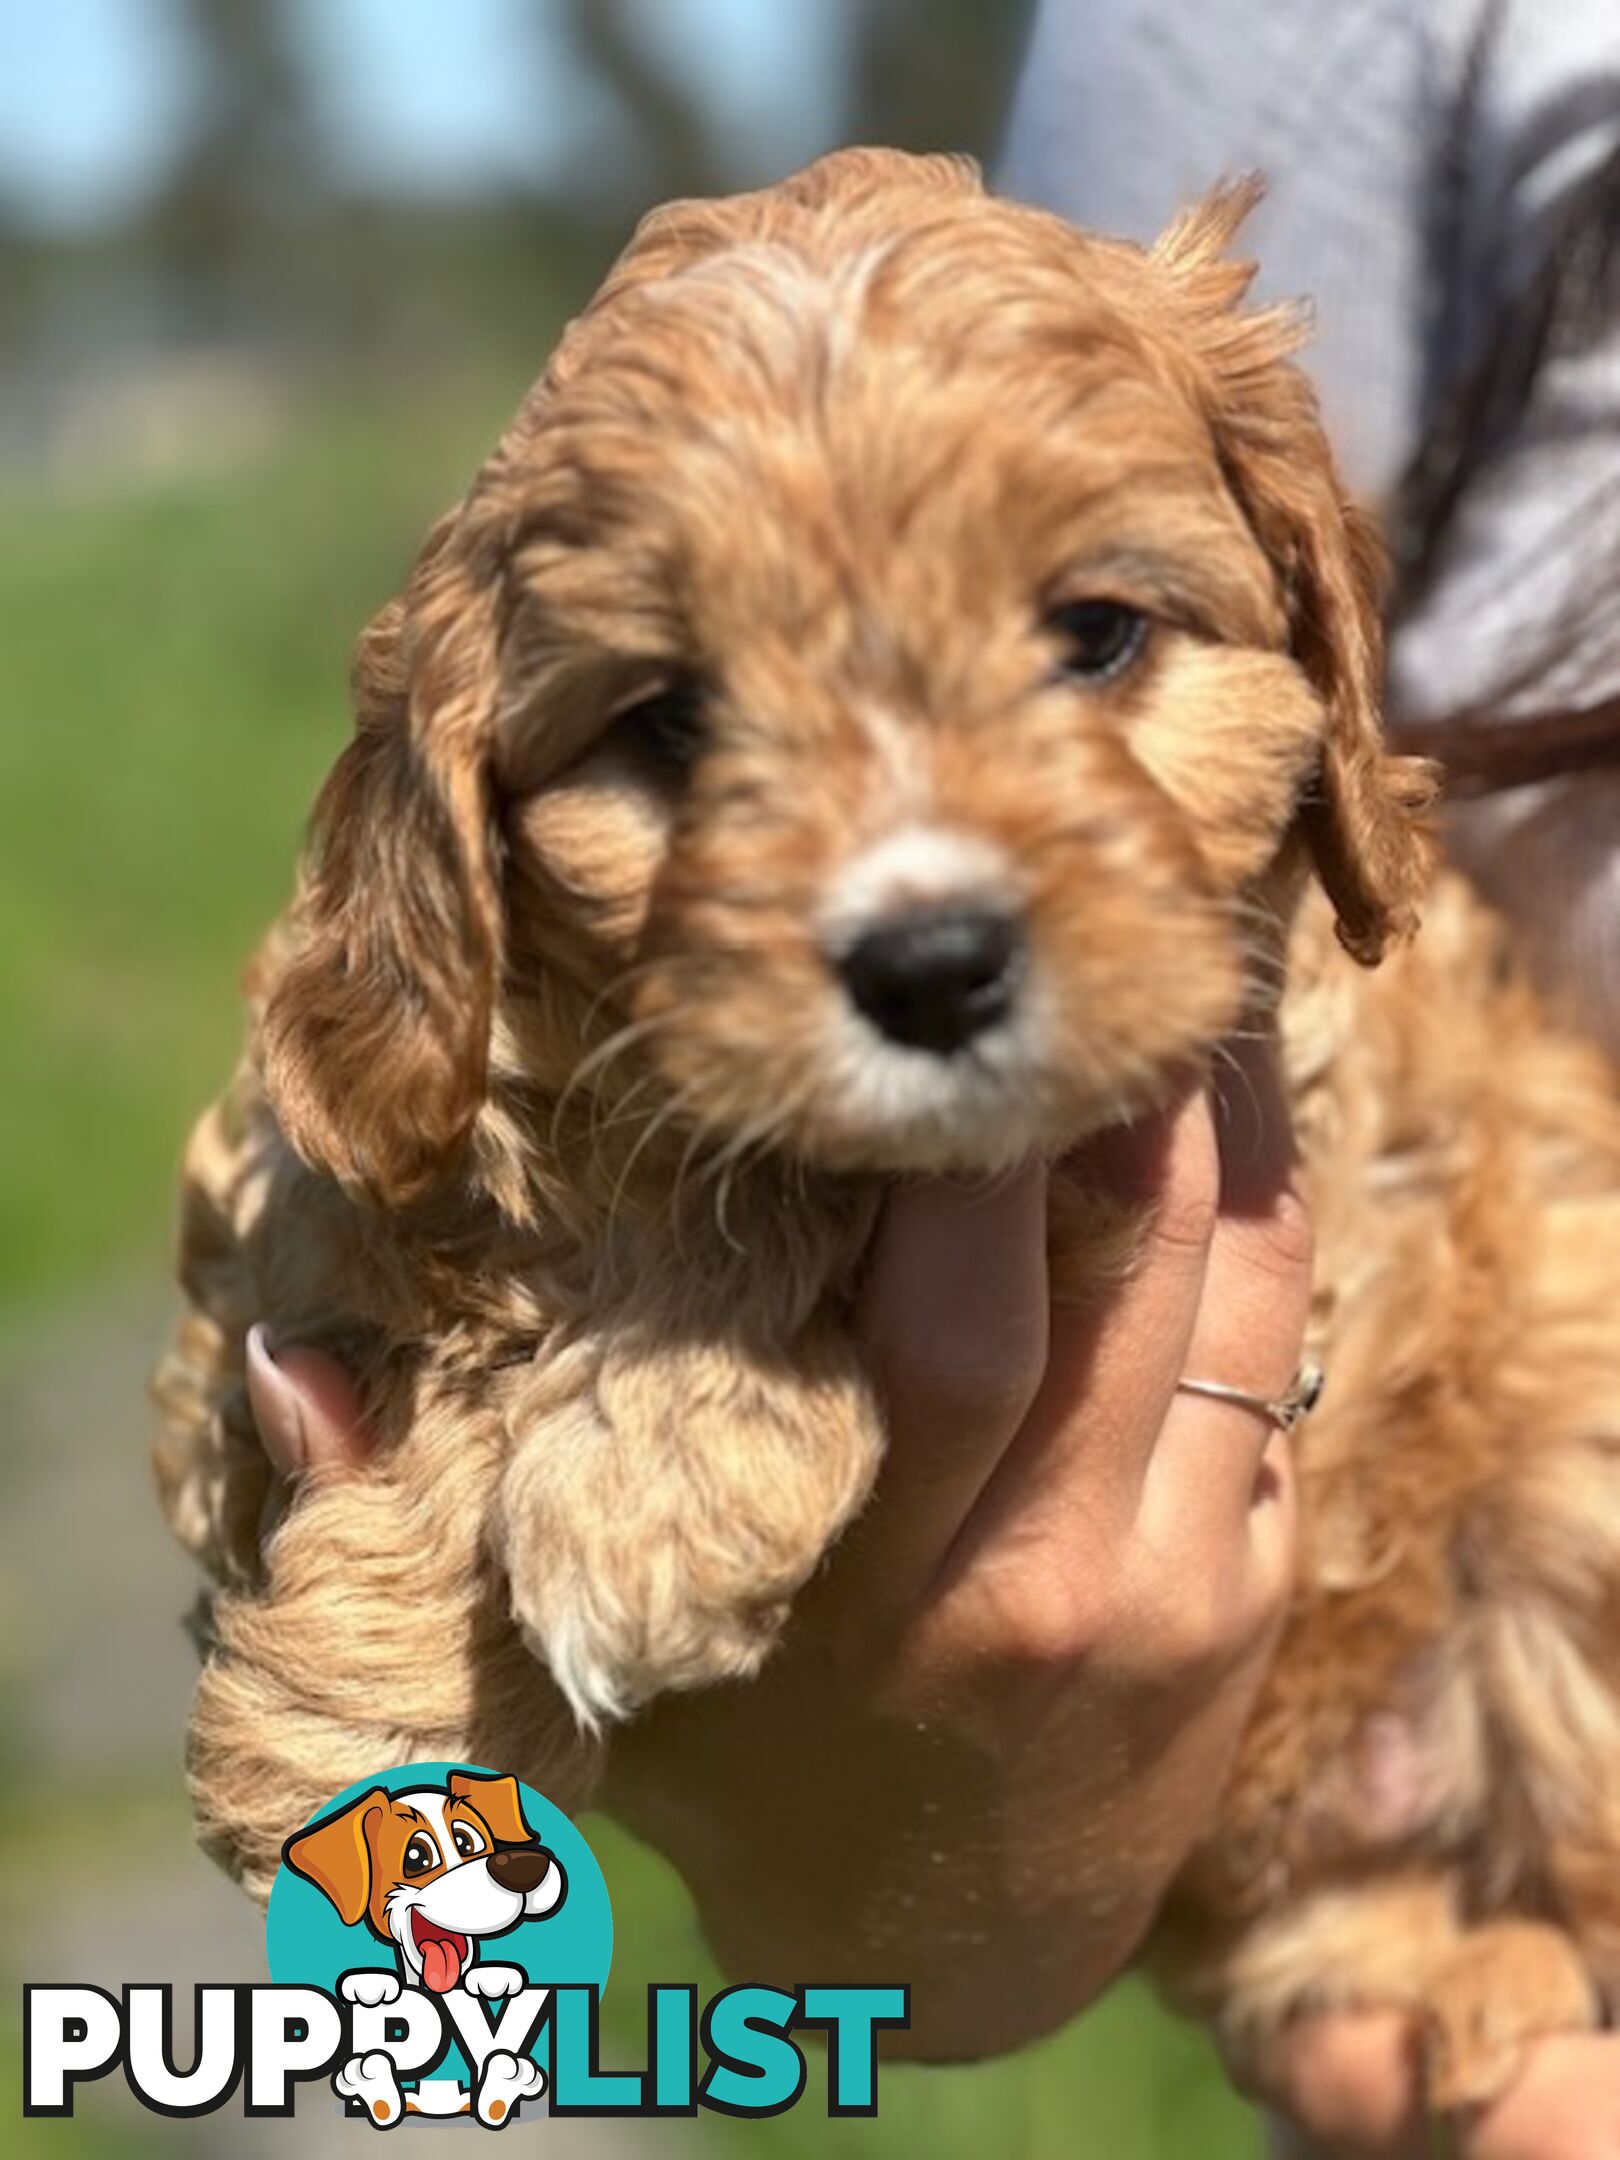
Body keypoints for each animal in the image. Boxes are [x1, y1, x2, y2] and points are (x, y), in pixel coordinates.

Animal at [158, 152, 1620, 2108]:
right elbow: (386, 1246)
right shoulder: (285, 1209)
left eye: (1094, 636)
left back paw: (1497, 1987)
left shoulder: (1251, 1072)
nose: (930, 966)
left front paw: (658, 1457)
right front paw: (370, 1707)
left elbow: (804, 1181)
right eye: (668, 722)